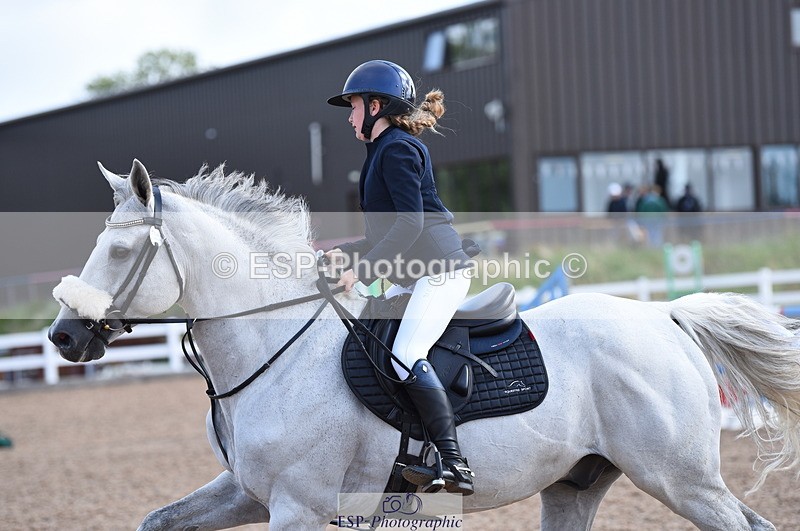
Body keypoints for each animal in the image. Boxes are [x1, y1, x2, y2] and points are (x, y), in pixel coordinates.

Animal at [48, 160, 800, 530]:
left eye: (122, 251)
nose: (62, 334)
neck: (272, 348)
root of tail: (664, 318)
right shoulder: (250, 492)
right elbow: (157, 519)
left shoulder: (297, 504)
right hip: (576, 485)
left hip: (681, 479)